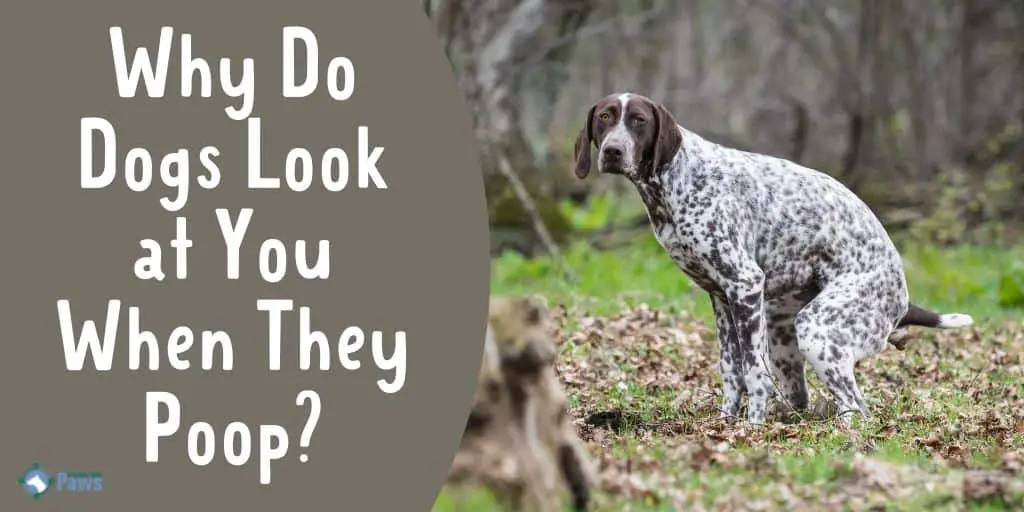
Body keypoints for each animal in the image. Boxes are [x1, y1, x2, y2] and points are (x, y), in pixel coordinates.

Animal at [577, 91, 974, 423]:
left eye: (639, 121)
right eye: (605, 117)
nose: (613, 151)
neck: (677, 180)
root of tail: (902, 297)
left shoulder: (745, 285)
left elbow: (754, 374)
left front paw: (751, 430)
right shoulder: (722, 299)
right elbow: (731, 372)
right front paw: (726, 423)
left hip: (817, 331)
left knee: (857, 409)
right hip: (784, 336)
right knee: (807, 398)